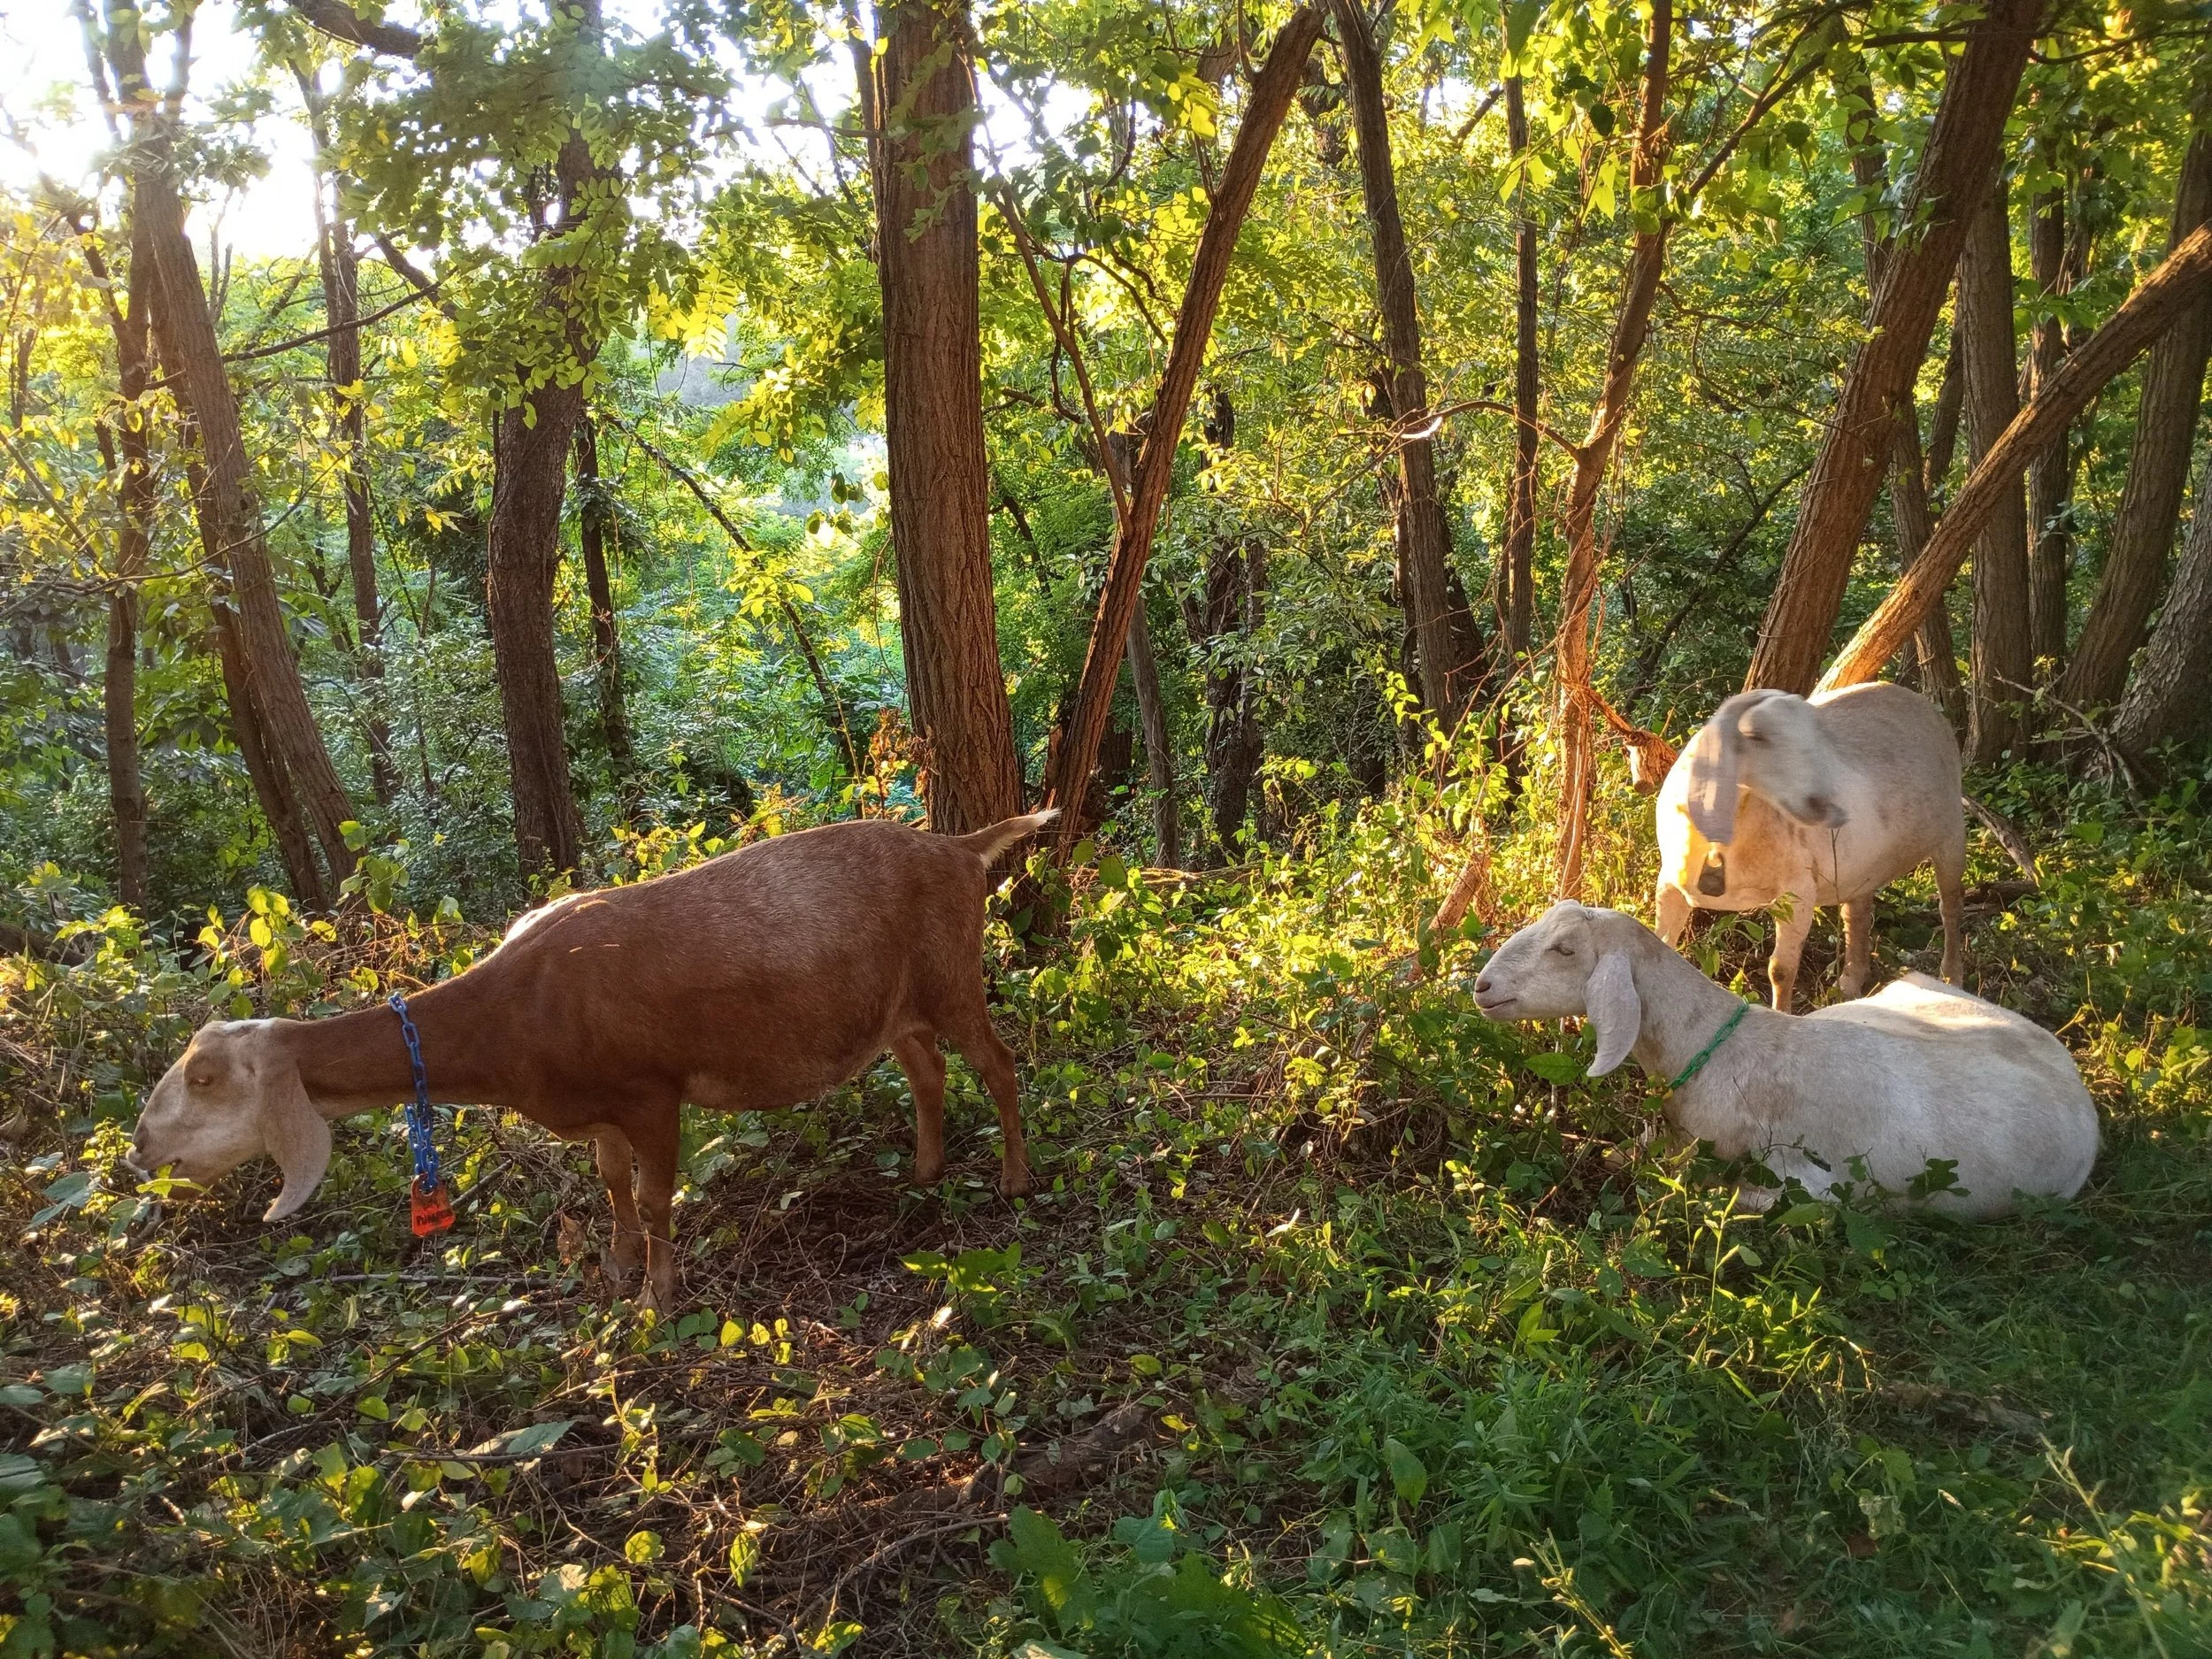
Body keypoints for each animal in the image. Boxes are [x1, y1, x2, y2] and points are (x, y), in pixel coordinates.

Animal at [127, 811, 1058, 1309]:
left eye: (205, 1078)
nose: (139, 1148)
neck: (516, 1014)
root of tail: (961, 848)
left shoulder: (652, 1092)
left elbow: (651, 1197)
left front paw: (657, 1296)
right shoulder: (600, 1105)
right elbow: (610, 1183)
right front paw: (614, 1270)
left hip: (953, 974)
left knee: (1001, 1063)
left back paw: (1015, 1178)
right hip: (896, 1008)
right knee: (928, 1072)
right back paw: (928, 1169)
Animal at [1656, 682, 1966, 1012]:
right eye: (1756, 736)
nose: (1823, 806)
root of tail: (1918, 700)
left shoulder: (1798, 890)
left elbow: (1781, 970)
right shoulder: (1669, 885)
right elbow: (1663, 945)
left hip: (1951, 832)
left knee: (1950, 909)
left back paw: (1952, 977)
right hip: (1862, 864)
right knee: (1857, 915)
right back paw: (1850, 982)